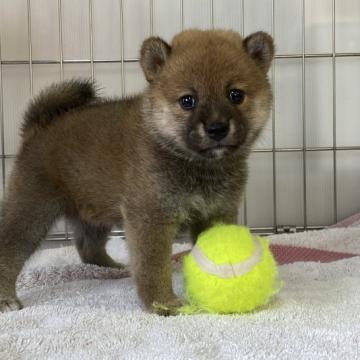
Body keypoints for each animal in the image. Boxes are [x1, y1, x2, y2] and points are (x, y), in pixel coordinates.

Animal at [0, 28, 272, 316]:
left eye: (236, 95)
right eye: (188, 101)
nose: (217, 128)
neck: (197, 165)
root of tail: (38, 128)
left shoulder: (217, 213)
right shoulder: (150, 217)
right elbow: (153, 267)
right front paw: (163, 302)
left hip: (94, 213)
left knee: (88, 247)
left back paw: (112, 269)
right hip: (31, 210)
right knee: (9, 249)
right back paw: (6, 298)